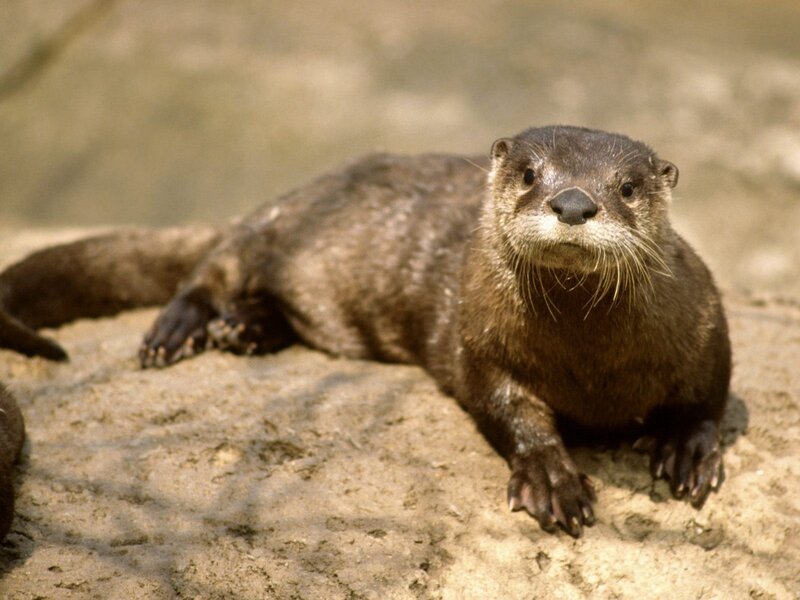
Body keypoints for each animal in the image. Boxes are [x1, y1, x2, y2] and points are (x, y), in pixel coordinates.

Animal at [0, 126, 730, 537]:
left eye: (628, 187)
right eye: (530, 173)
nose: (574, 202)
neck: (592, 368)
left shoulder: (704, 323)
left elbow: (710, 396)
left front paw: (688, 450)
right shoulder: (479, 342)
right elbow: (510, 409)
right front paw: (552, 478)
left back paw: (244, 328)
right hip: (274, 226)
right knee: (213, 265)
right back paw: (181, 328)